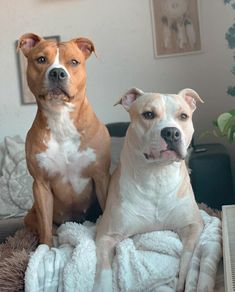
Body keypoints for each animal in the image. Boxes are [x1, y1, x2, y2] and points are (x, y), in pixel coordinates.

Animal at [17, 32, 110, 246]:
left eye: (74, 62)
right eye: (41, 59)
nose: (57, 73)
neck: (61, 120)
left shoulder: (101, 176)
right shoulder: (40, 184)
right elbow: (45, 226)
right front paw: (45, 249)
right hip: (30, 216)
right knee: (49, 227)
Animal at [93, 87, 204, 292]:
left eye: (183, 116)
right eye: (149, 114)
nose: (171, 132)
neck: (156, 177)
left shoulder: (193, 224)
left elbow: (188, 257)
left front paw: (182, 282)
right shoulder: (106, 235)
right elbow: (103, 271)